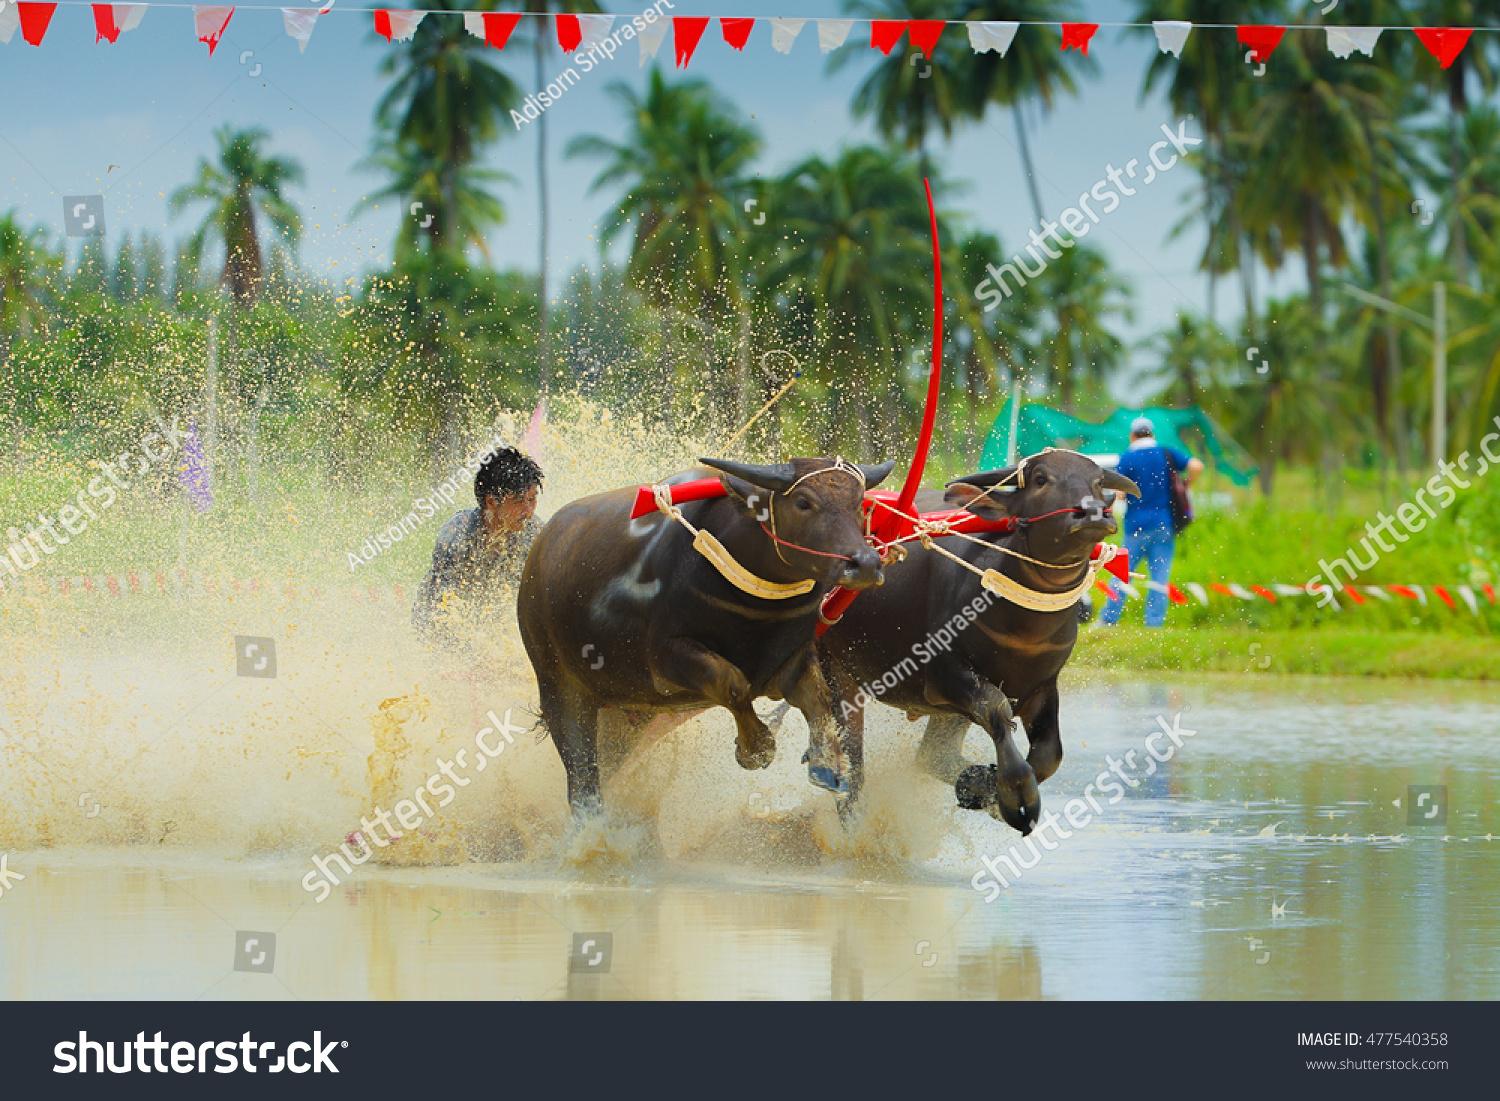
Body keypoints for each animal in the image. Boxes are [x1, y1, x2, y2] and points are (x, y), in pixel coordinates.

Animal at [516, 456, 888, 822]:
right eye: (803, 502)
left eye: (859, 503)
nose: (866, 563)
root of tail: (536, 559)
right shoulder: (666, 661)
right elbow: (732, 683)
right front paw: (755, 748)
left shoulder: (791, 656)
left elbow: (818, 696)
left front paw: (828, 766)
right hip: (560, 689)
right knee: (582, 784)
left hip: (625, 713)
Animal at [822, 450, 1134, 834]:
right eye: (1040, 479)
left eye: (1097, 481)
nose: (1092, 512)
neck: (1024, 628)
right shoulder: (946, 676)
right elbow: (997, 709)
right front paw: (1013, 796)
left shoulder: (1042, 686)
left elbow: (1050, 755)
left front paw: (979, 784)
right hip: (837, 675)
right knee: (851, 766)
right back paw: (854, 823)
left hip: (948, 715)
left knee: (930, 756)